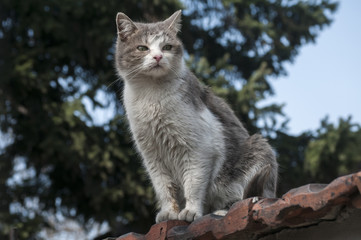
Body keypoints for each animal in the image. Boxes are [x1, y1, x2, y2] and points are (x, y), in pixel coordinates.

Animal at [114, 10, 278, 222]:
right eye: (142, 48)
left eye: (167, 47)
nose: (158, 56)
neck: (152, 94)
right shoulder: (152, 156)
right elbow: (164, 188)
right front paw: (169, 213)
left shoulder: (198, 150)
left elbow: (193, 183)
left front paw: (190, 211)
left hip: (259, 148)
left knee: (245, 197)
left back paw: (223, 210)